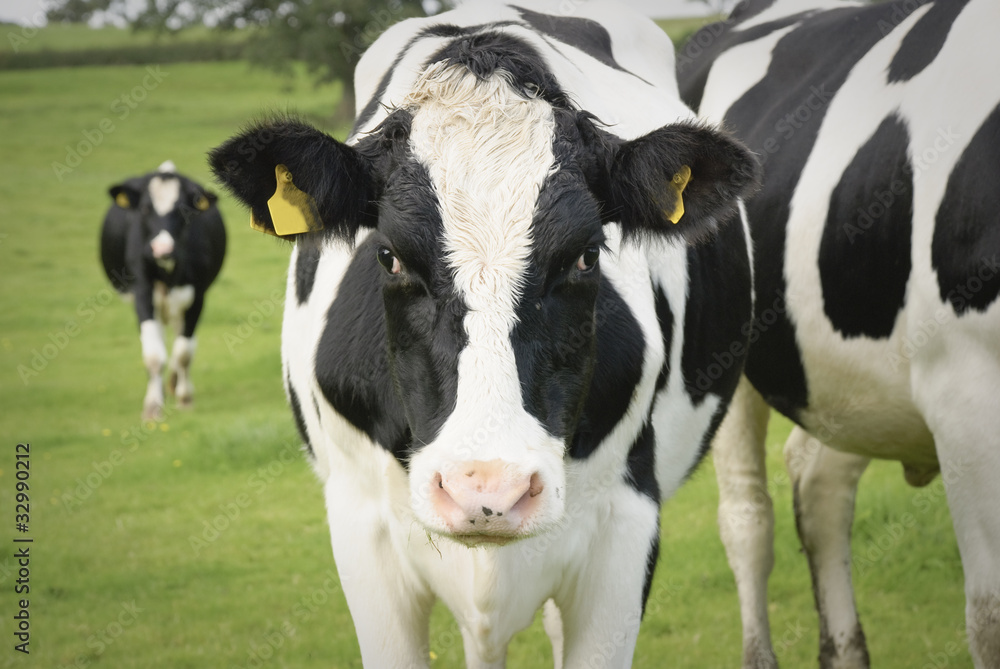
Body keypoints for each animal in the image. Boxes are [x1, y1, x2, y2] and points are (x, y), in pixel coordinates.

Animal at [101, 161, 226, 420]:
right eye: (145, 209)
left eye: (183, 210)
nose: (162, 249)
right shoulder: (142, 294)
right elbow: (153, 354)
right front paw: (152, 407)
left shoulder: (197, 296)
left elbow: (184, 353)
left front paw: (185, 399)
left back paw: (174, 384)